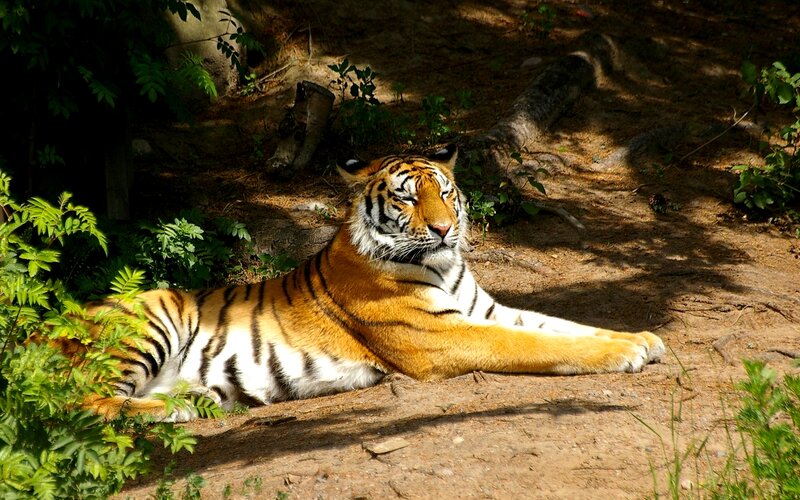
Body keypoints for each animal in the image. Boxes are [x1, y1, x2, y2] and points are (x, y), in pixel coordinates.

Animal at [79, 145, 665, 422]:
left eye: (444, 192)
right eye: (406, 198)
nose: (445, 229)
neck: (445, 268)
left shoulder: (488, 310)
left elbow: (562, 325)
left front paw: (642, 338)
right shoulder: (444, 336)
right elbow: (532, 344)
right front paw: (625, 354)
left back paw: (196, 398)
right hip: (152, 316)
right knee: (83, 403)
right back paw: (177, 408)